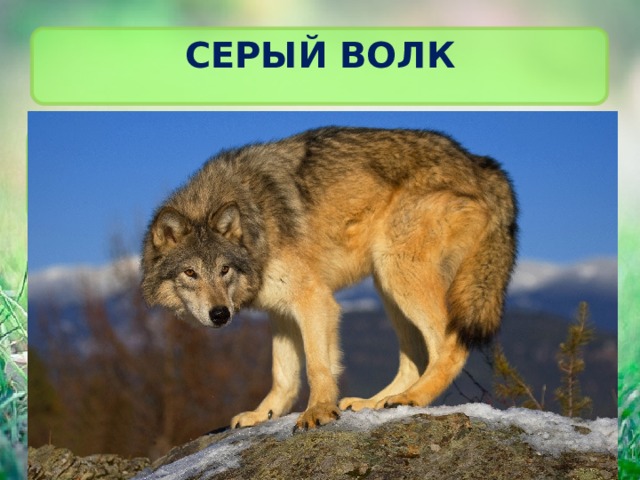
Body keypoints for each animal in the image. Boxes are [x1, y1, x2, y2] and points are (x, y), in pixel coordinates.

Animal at [141, 126, 518, 431]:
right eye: (190, 273)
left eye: (224, 270)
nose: (220, 314)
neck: (255, 218)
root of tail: (481, 163)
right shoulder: (280, 312)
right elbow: (283, 375)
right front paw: (263, 415)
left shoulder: (314, 299)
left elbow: (317, 366)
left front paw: (319, 411)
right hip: (387, 285)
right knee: (416, 358)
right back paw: (376, 402)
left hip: (398, 271)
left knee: (449, 345)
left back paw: (414, 398)